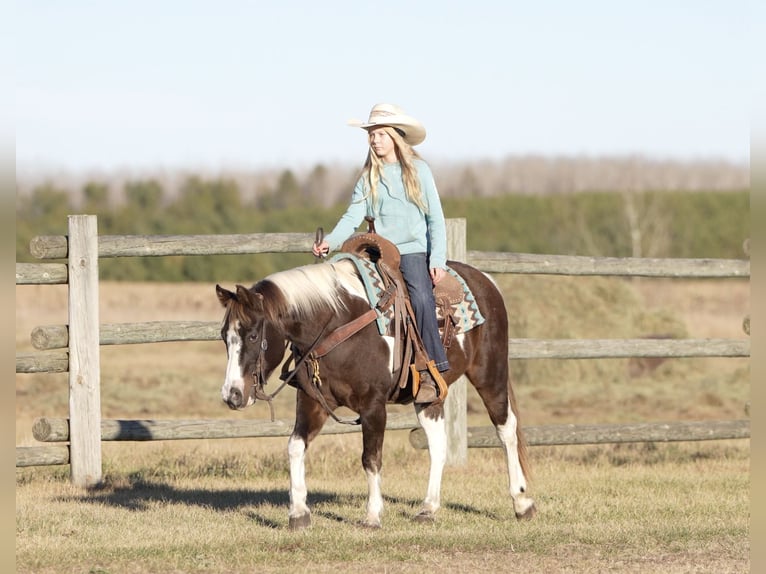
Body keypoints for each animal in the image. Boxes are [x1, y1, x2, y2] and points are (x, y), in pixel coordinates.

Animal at [216, 256, 536, 532]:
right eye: (224, 336)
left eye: (253, 335)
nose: (232, 395)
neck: (337, 325)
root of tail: (486, 281)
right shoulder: (314, 402)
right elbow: (295, 447)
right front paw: (298, 512)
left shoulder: (373, 406)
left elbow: (371, 459)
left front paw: (372, 516)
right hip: (429, 397)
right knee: (438, 444)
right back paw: (428, 508)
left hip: (490, 374)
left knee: (506, 429)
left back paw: (522, 502)